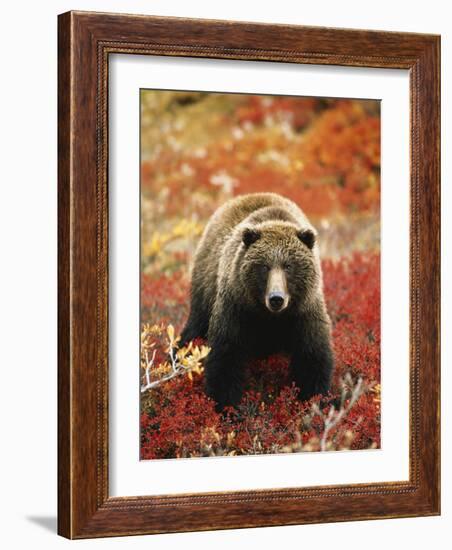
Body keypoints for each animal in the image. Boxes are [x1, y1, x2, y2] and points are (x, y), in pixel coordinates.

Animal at [178, 192, 334, 412]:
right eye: (264, 266)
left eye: (288, 266)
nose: (276, 298)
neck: (269, 317)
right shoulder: (237, 307)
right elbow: (225, 356)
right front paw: (226, 406)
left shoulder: (304, 312)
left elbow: (312, 358)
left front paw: (314, 401)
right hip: (205, 288)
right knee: (194, 329)